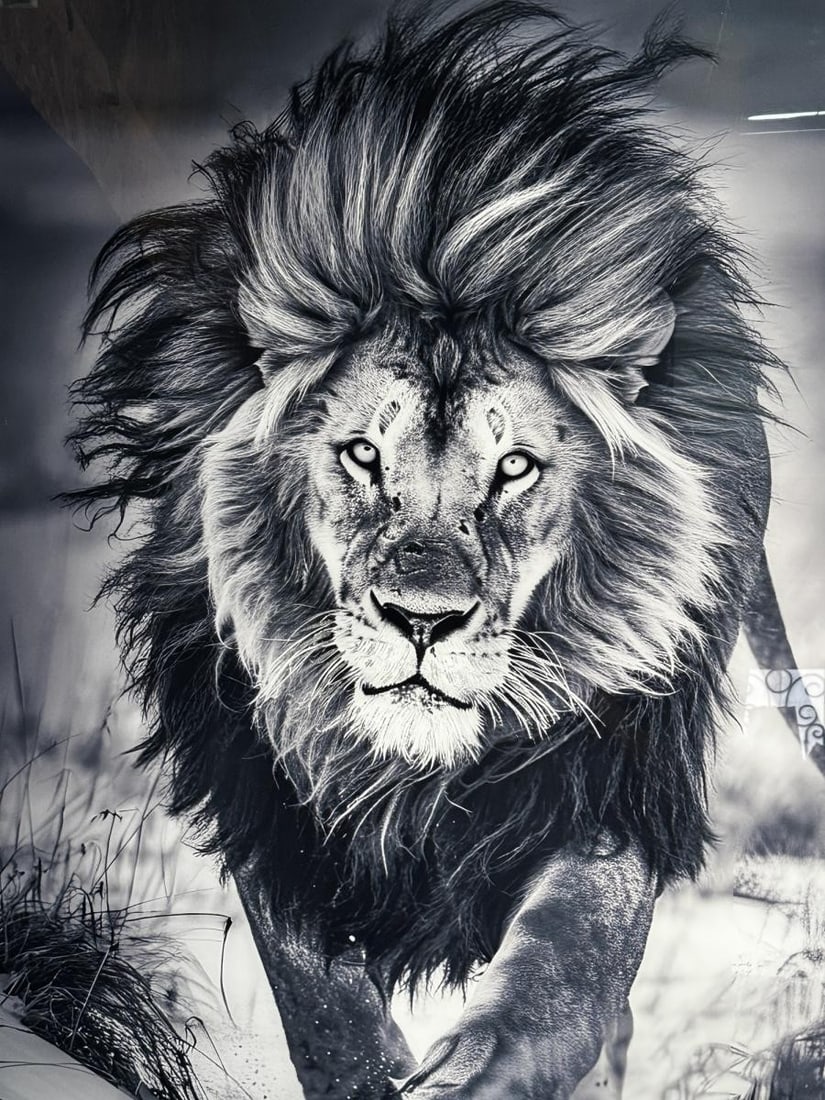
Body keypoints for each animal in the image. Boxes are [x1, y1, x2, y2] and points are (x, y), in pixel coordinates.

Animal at [67, 4, 806, 1098]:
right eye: (362, 454)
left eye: (516, 467)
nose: (422, 622)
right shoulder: (270, 797)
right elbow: (324, 1012)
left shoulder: (607, 783)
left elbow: (567, 969)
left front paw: (481, 1070)